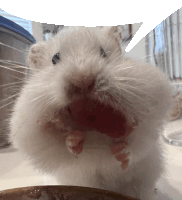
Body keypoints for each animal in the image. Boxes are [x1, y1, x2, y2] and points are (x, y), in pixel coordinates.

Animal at [8, 26, 173, 200]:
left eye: (103, 52)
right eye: (54, 58)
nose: (83, 81)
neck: (94, 131)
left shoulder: (151, 113)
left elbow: (136, 143)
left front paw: (121, 152)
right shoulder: (31, 132)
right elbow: (61, 145)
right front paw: (73, 140)